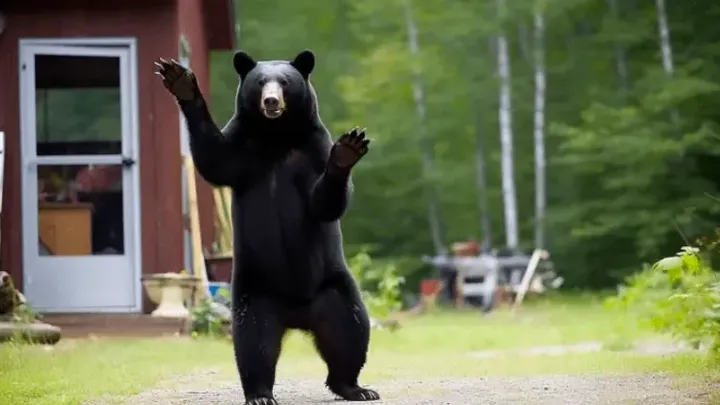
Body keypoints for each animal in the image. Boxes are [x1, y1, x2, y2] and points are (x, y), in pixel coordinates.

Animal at [154, 50, 380, 405]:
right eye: (260, 82)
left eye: (284, 82)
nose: (271, 101)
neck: (276, 137)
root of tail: (296, 315)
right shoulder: (243, 145)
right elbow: (214, 161)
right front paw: (181, 82)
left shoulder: (313, 147)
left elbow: (325, 203)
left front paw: (347, 151)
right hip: (256, 293)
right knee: (253, 342)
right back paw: (260, 393)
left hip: (333, 288)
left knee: (351, 329)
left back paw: (355, 387)